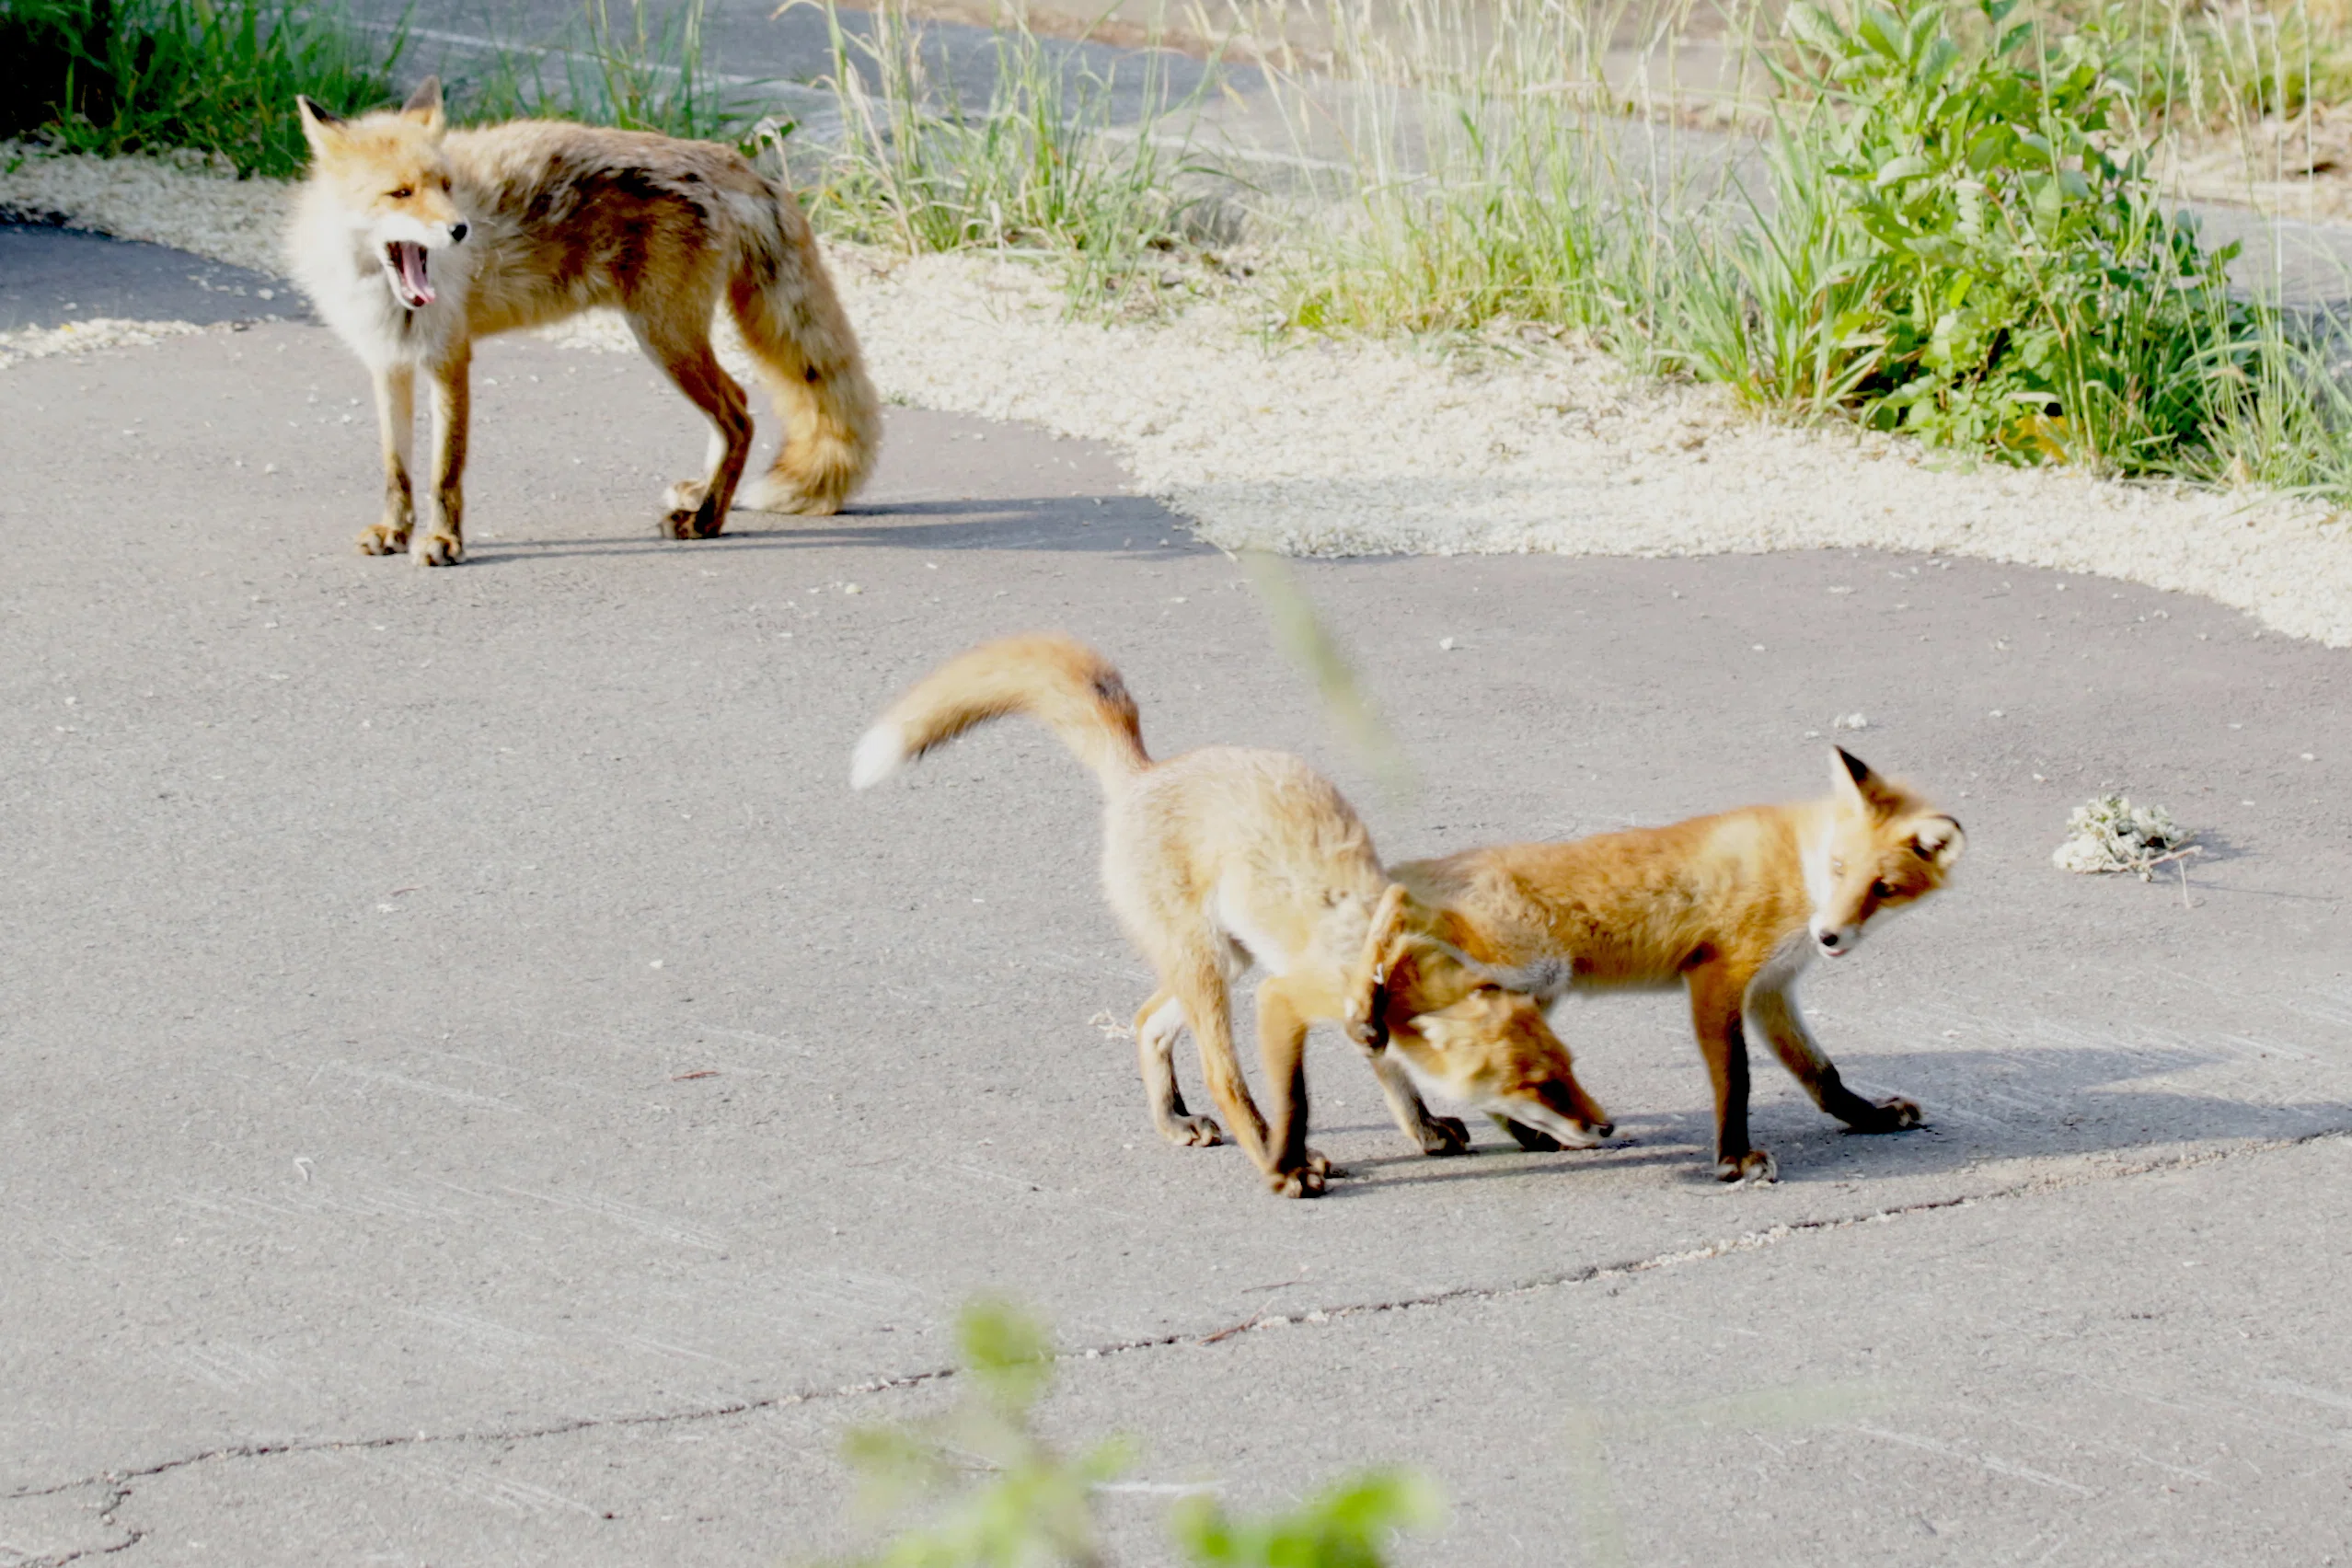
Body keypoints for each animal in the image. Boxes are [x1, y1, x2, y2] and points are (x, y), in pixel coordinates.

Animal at [287, 78, 879, 566]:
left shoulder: (449, 358)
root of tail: (729, 158)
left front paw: (443, 541)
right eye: (401, 193)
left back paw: (707, 519)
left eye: (447, 185)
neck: (383, 294)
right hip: (670, 341)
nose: (461, 230)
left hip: (664, 339)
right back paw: (704, 496)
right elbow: (397, 469)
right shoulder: (388, 363)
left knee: (739, 414)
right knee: (733, 413)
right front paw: (394, 530)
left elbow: (444, 472)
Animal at [850, 635, 1615, 1197]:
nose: (1606, 1130)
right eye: (1540, 1085)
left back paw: (1173, 1121)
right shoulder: (1290, 999)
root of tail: (1148, 771)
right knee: (1222, 1074)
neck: (1385, 957)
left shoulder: (1365, 1025)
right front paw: (1291, 1162)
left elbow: (1398, 1081)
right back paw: (1268, 1157)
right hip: (1214, 969)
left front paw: (1426, 1133)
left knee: (1145, 1023)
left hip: (1225, 958)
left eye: (1569, 1069)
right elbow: (1294, 1100)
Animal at [1389, 748, 1964, 1183]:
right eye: (1839, 868)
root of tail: (1403, 874)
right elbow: (1736, 1079)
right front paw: (1734, 1160)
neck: (1793, 868)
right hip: (1523, 982)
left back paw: (1462, 1131)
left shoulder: (1772, 987)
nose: (1828, 936)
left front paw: (1870, 1118)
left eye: (1883, 888)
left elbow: (1821, 1072)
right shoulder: (1718, 975)